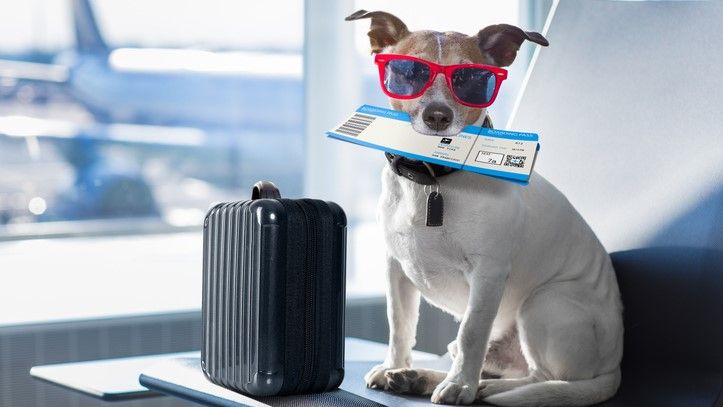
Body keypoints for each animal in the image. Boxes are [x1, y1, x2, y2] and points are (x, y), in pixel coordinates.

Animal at [348, 9, 624, 407]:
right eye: (409, 71)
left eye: (472, 79)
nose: (437, 116)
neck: (432, 179)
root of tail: (614, 366)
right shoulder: (395, 270)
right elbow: (399, 326)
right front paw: (393, 366)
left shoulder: (487, 274)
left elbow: (472, 333)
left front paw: (461, 386)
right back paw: (419, 377)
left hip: (543, 303)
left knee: (540, 378)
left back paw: (481, 388)